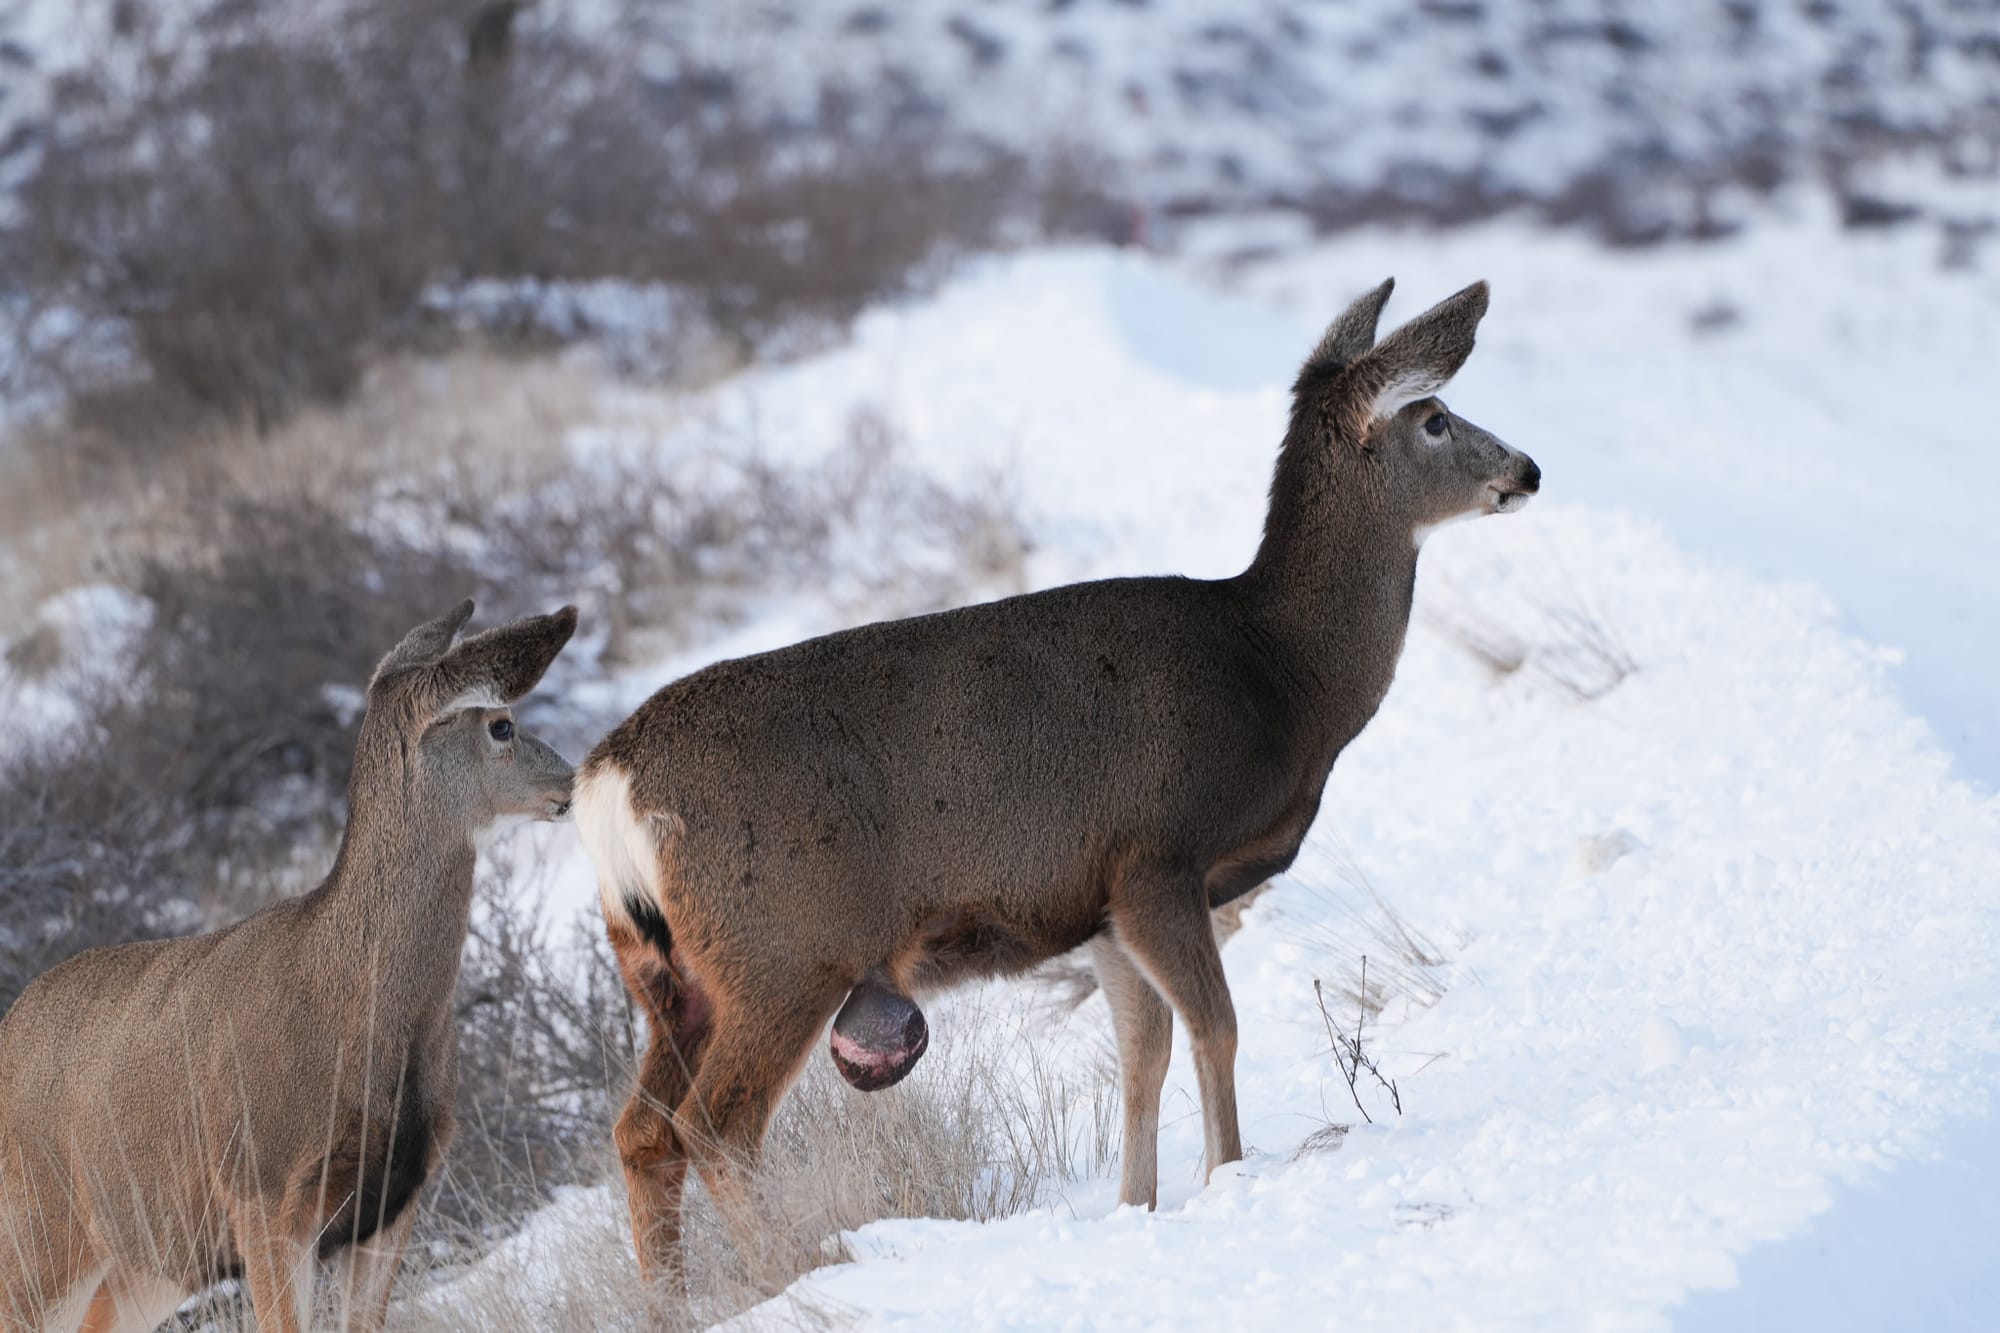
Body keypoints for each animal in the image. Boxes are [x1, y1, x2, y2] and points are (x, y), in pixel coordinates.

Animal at [0, 601, 578, 1333]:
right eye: (501, 724)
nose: (573, 780)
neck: (359, 1009)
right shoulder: (265, 1192)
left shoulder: (396, 1200)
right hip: (37, 1233)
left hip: (141, 1263)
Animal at [574, 278, 1539, 1281]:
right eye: (1434, 417)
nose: (1530, 469)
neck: (1280, 674)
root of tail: (608, 780)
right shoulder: (1157, 857)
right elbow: (1217, 1026)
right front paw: (1228, 1177)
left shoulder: (1101, 902)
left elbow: (1142, 1052)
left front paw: (1137, 1203)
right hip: (784, 950)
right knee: (715, 1126)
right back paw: (792, 1266)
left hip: (670, 975)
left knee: (641, 1131)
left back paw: (679, 1297)